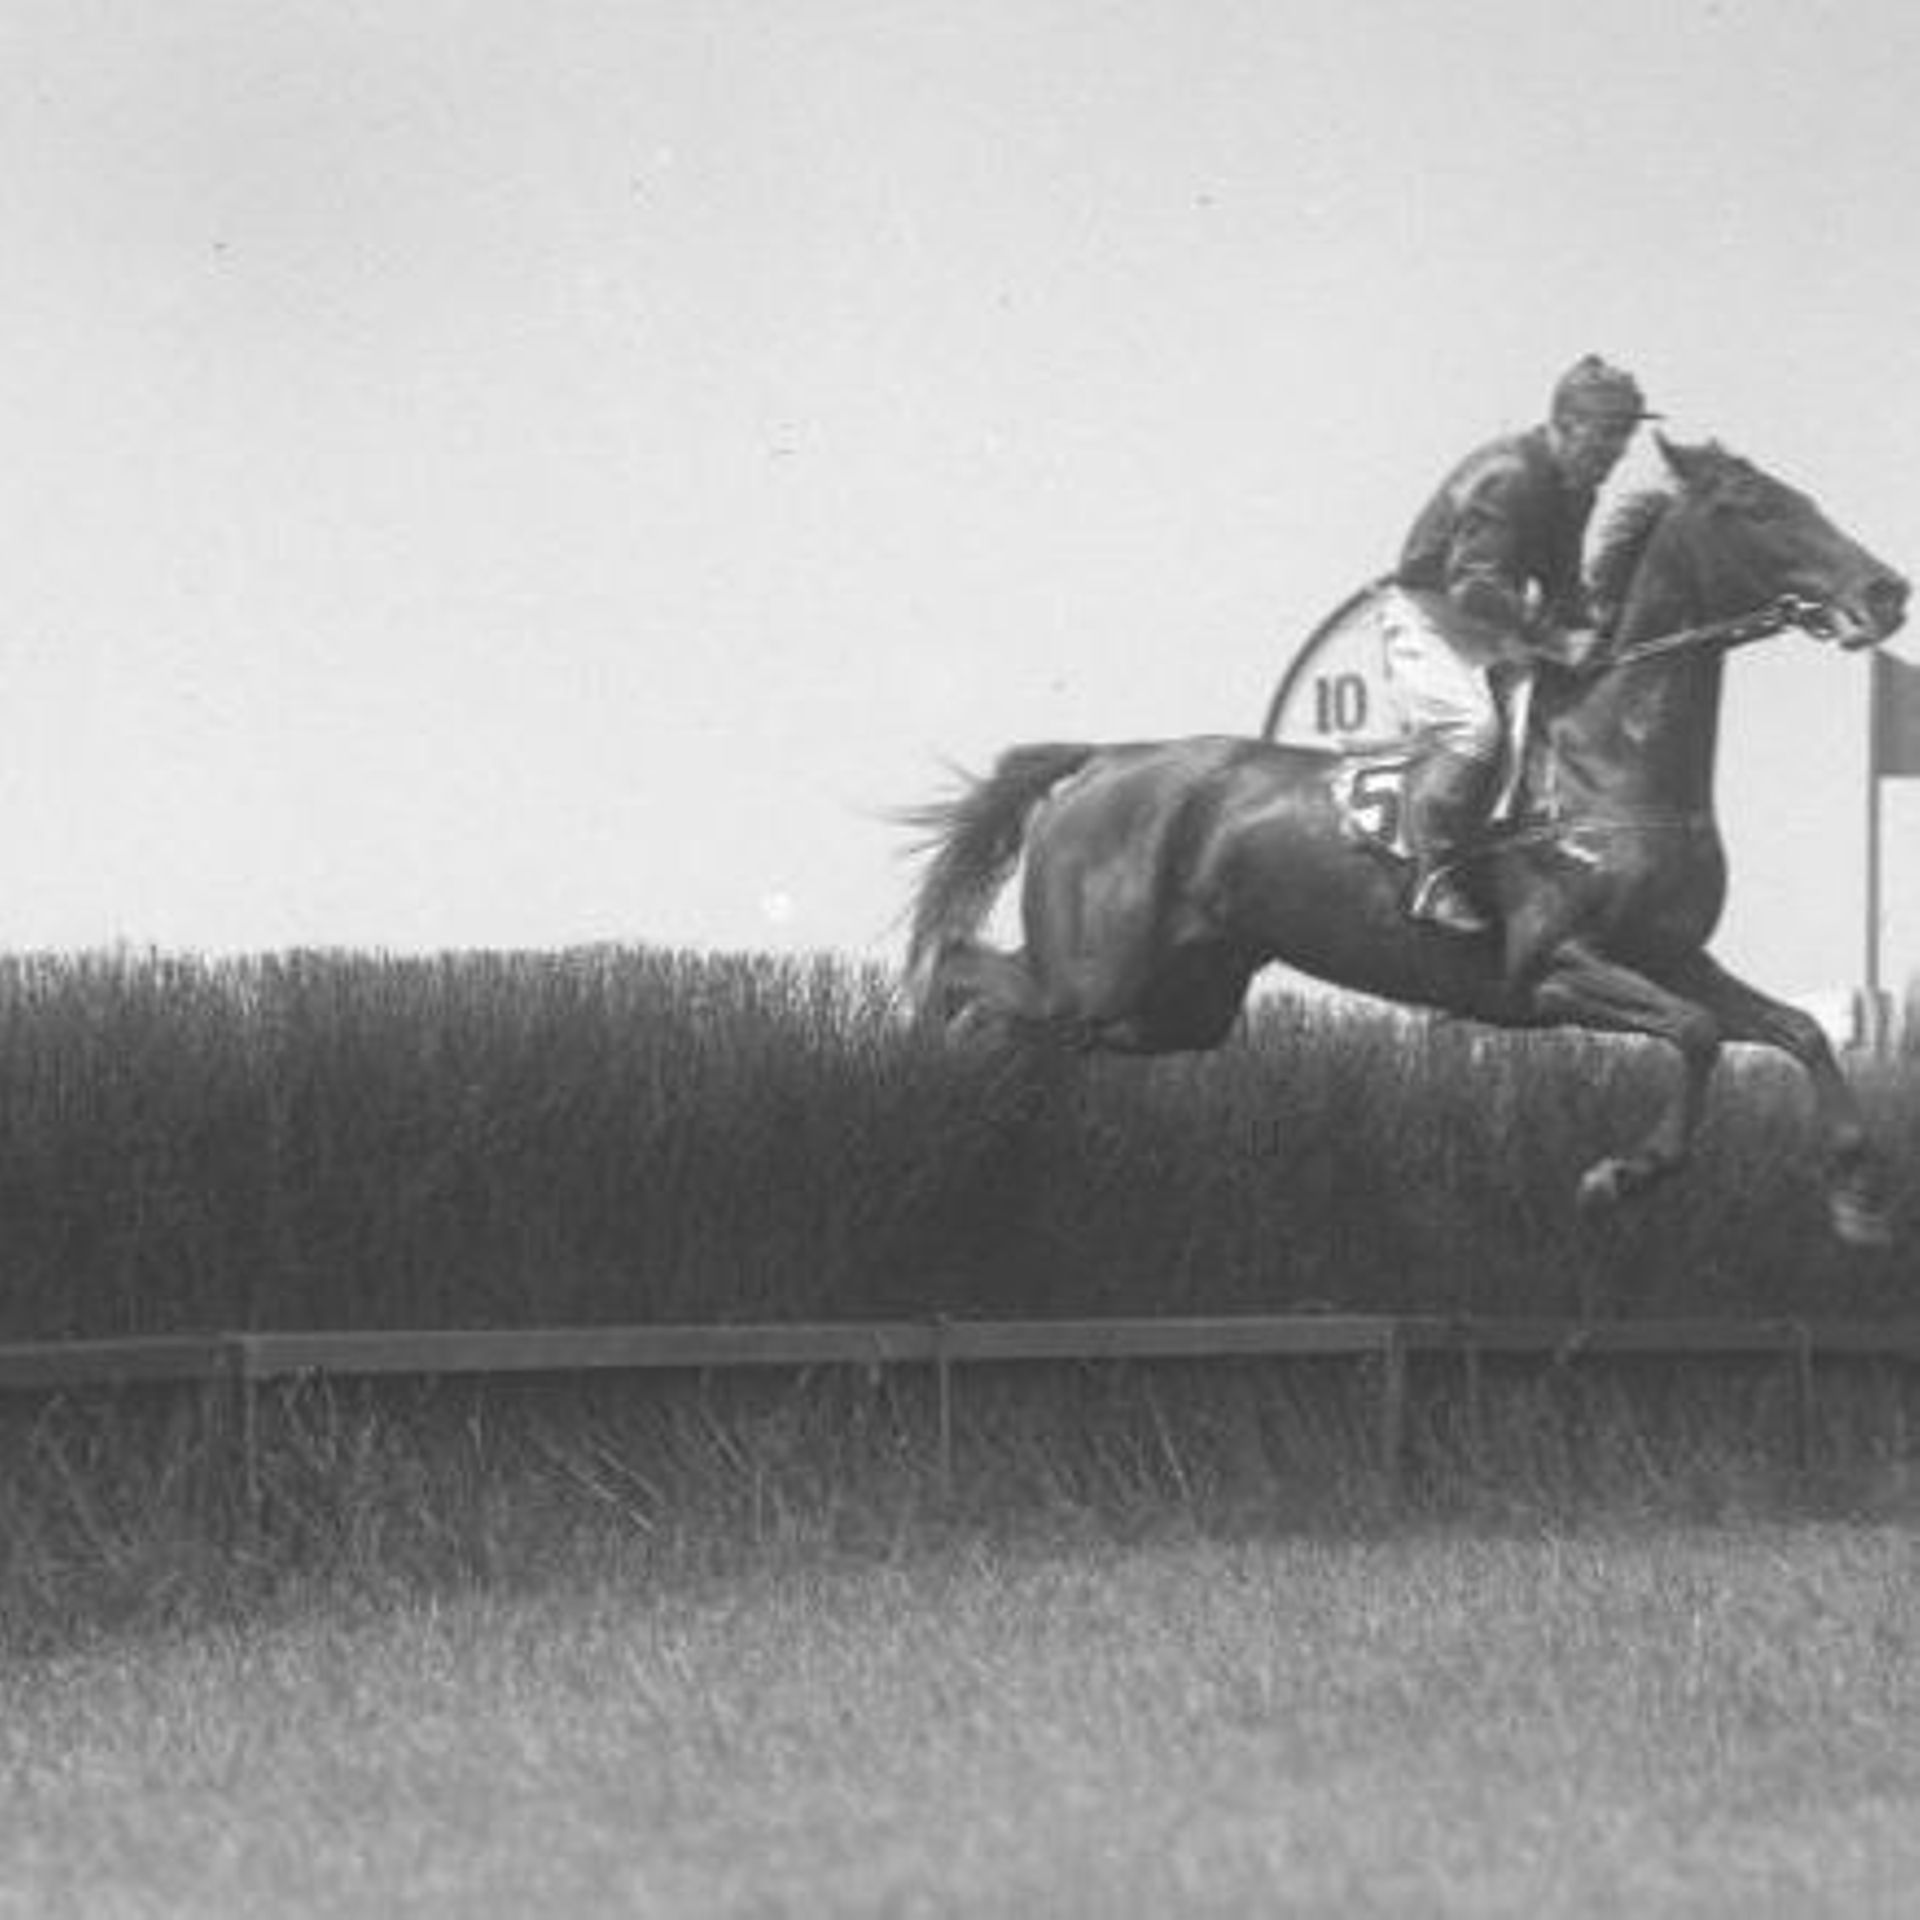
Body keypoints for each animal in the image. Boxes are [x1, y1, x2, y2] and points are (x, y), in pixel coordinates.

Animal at [906, 435, 1912, 1244]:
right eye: (1759, 508)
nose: (1886, 591)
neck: (1613, 759)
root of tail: (1106, 760)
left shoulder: (1673, 957)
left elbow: (1796, 1031)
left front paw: (1860, 1195)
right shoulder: (1555, 968)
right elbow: (1700, 1035)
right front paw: (1621, 1175)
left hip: (1175, 1006)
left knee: (1016, 1018)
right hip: (1099, 972)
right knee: (965, 974)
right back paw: (926, 1076)